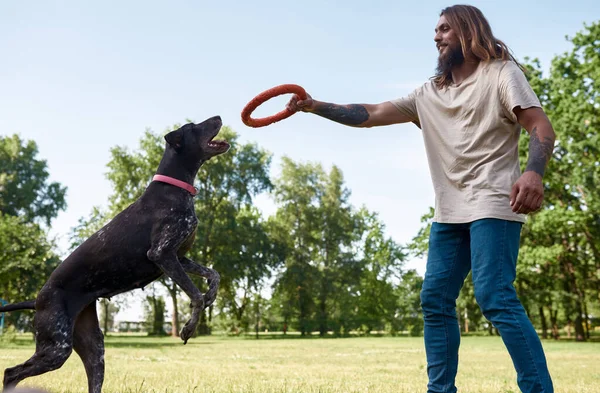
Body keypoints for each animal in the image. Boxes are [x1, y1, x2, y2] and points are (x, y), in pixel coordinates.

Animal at [0, 115, 230, 392]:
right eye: (194, 127)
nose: (218, 117)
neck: (174, 188)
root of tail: (37, 300)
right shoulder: (162, 254)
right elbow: (195, 295)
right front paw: (189, 327)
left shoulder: (179, 257)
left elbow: (214, 274)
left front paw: (211, 295)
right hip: (56, 347)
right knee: (11, 372)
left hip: (92, 348)